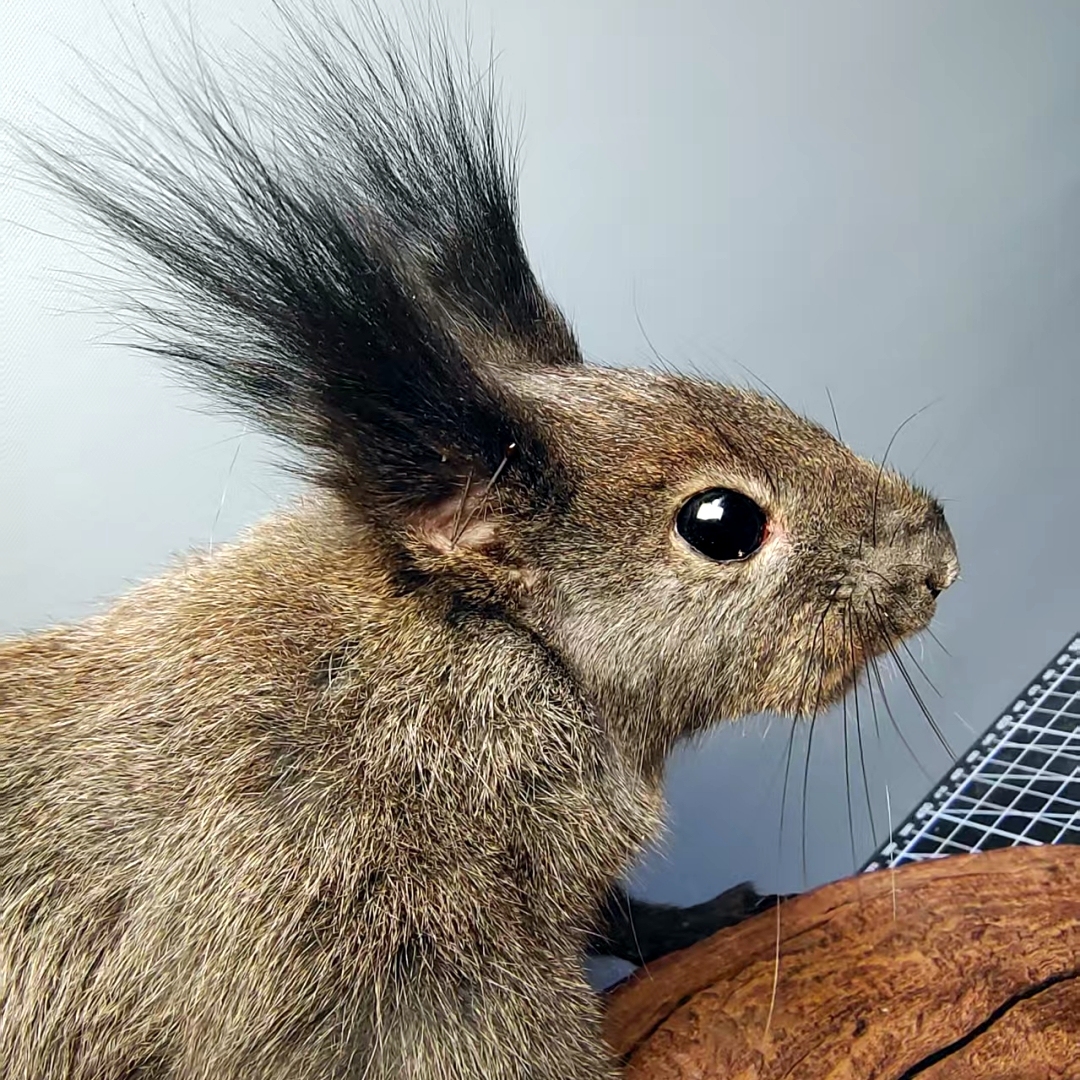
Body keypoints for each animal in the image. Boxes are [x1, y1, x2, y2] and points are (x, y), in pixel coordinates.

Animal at [0, 5, 959, 1078]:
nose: (940, 555)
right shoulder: (375, 945)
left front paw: (703, 917)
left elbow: (616, 916)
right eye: (722, 523)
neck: (470, 643)